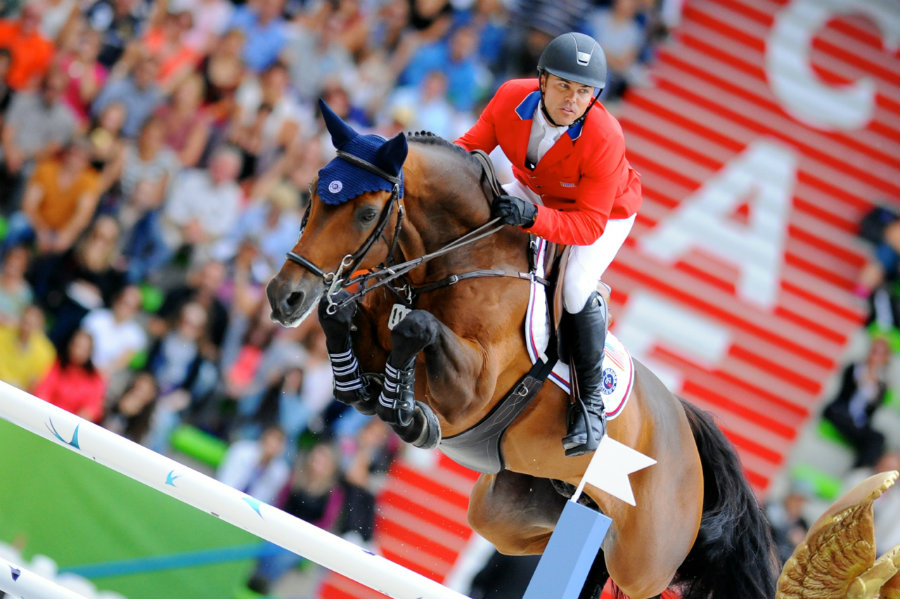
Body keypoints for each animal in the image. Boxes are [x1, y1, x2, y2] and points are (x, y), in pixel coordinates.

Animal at [264, 105, 776, 596]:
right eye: (313, 192)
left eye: (368, 214)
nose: (284, 297)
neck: (457, 260)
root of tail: (684, 424)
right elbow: (338, 319)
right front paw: (363, 388)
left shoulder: (472, 392)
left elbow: (417, 328)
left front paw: (404, 411)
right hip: (506, 511)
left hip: (644, 562)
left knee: (632, 571)